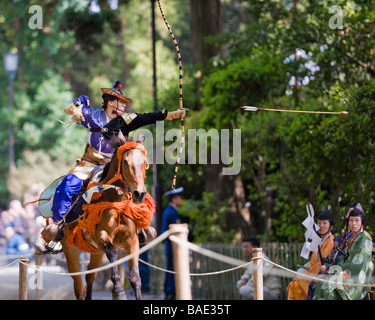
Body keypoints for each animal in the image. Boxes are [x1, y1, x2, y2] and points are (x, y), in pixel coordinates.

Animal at [60, 134, 151, 300]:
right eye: (125, 162)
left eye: (144, 162)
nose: (139, 193)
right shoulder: (99, 236)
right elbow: (113, 252)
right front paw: (118, 290)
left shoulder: (132, 240)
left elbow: (135, 278)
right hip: (70, 248)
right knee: (79, 285)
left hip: (96, 253)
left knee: (90, 275)